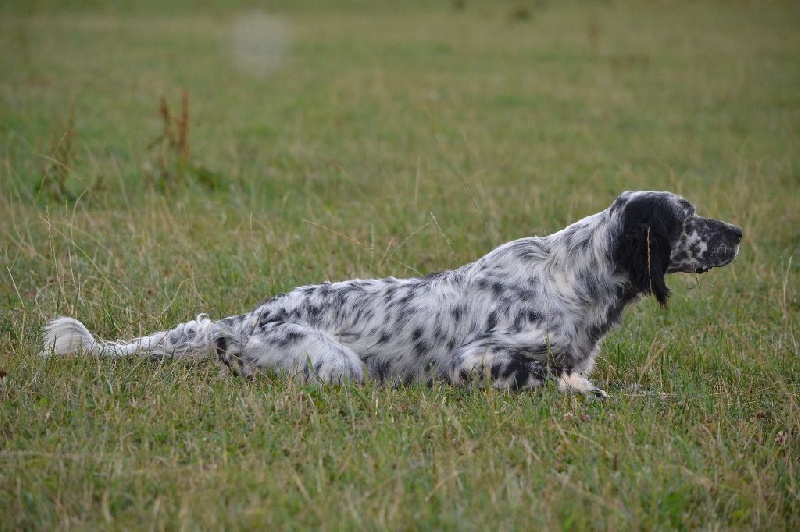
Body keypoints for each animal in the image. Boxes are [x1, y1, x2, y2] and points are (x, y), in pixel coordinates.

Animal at [41, 191, 741, 396]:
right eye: (687, 217)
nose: (738, 232)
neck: (575, 275)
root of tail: (250, 316)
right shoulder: (476, 362)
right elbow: (569, 385)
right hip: (335, 363)